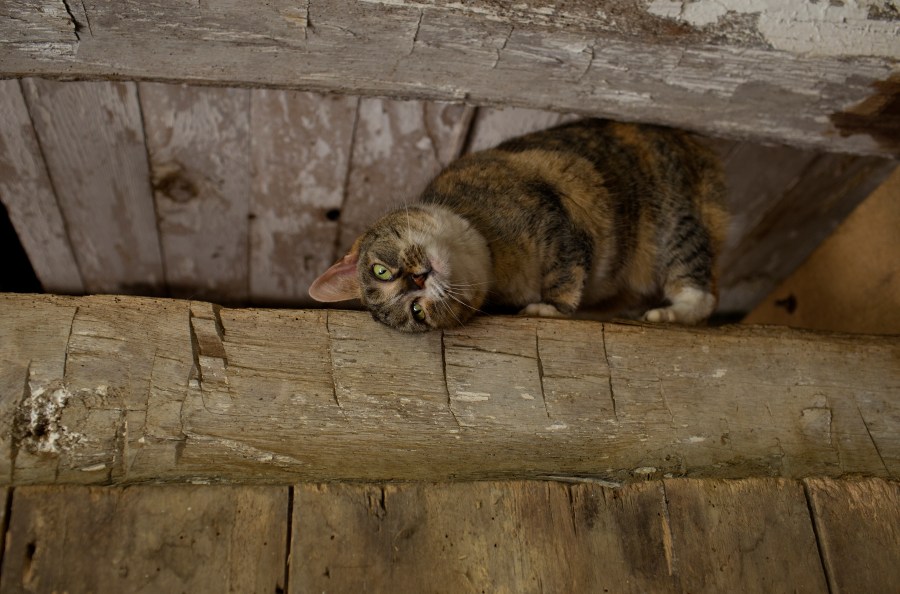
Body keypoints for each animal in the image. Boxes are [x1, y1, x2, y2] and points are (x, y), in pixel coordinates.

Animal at [310, 119, 732, 332]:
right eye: (418, 313)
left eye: (380, 270)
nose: (416, 281)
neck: (490, 255)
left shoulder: (555, 215)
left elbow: (565, 270)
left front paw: (550, 307)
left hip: (673, 219)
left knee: (701, 291)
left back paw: (670, 312)